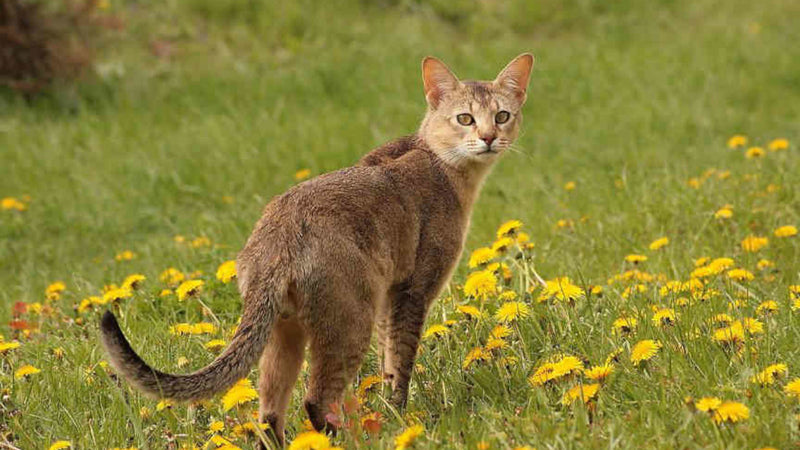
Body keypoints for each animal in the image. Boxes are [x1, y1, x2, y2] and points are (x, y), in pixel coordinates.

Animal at [101, 51, 536, 442]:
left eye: (502, 116)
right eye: (465, 118)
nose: (489, 138)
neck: (440, 163)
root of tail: (277, 236)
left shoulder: (389, 298)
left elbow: (388, 361)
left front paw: (389, 410)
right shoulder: (412, 291)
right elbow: (401, 360)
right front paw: (399, 416)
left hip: (286, 331)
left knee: (268, 412)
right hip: (349, 320)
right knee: (315, 398)